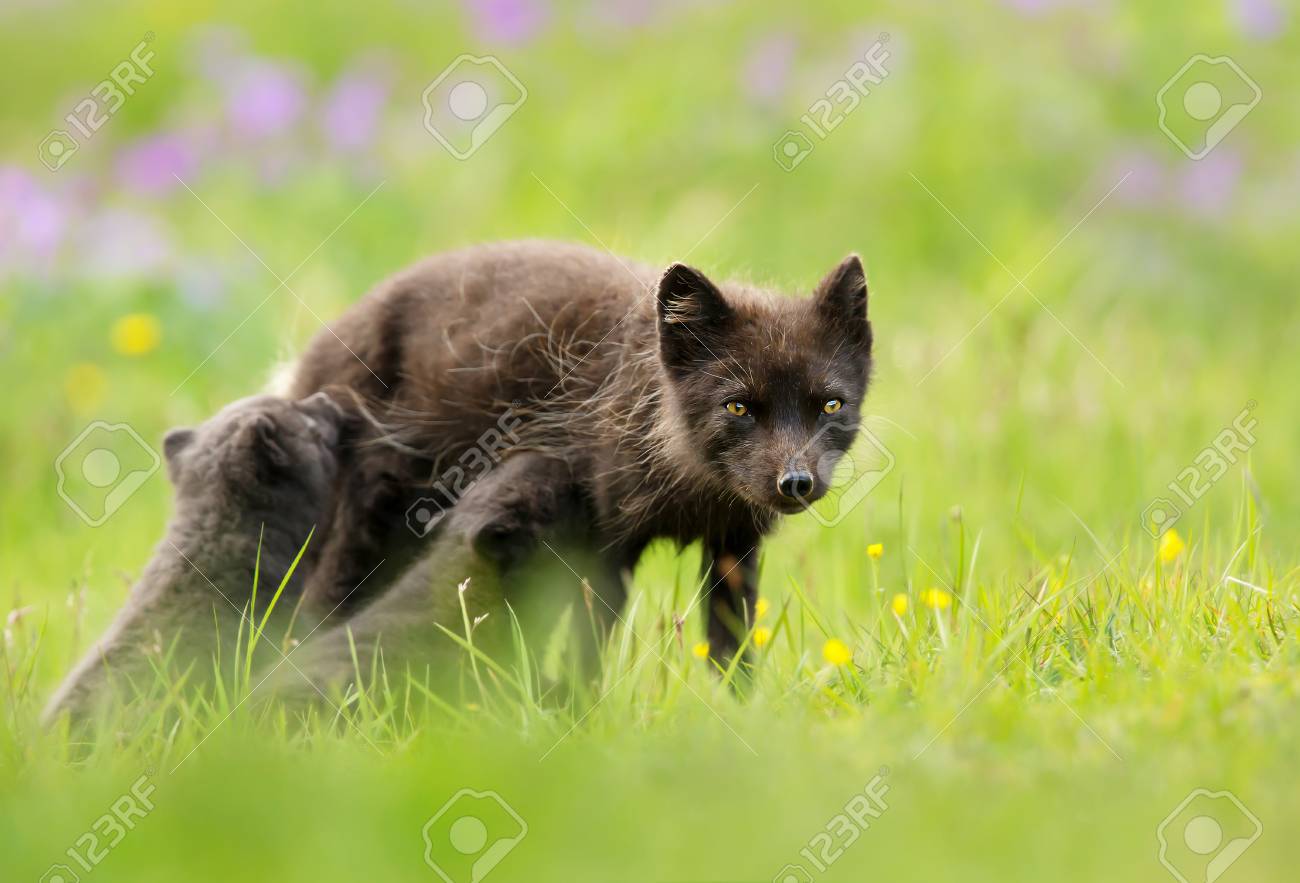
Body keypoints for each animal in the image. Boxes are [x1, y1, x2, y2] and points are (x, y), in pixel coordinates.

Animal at [289, 240, 873, 665]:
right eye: (738, 407)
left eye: (830, 405)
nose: (795, 483)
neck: (693, 489)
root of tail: (318, 347)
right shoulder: (606, 541)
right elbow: (588, 650)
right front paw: (575, 720)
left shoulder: (736, 544)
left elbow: (732, 653)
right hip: (372, 519)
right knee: (321, 601)